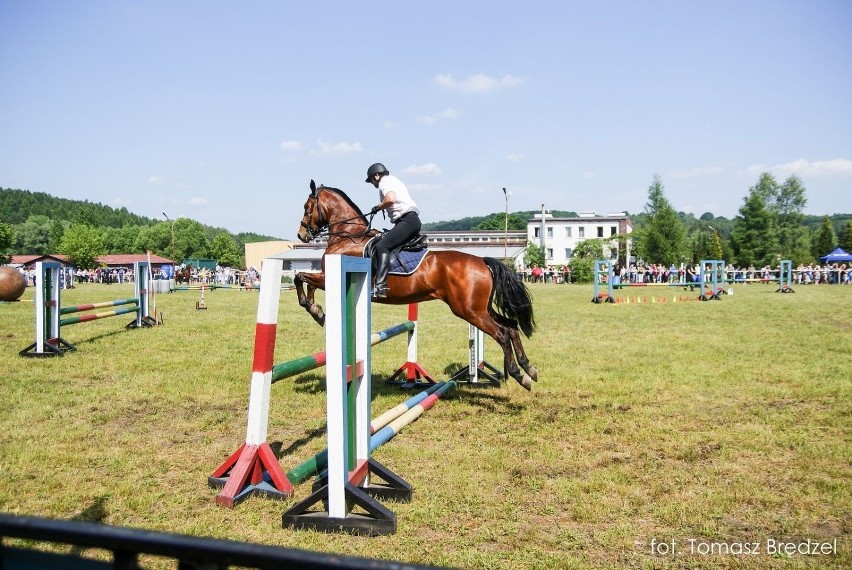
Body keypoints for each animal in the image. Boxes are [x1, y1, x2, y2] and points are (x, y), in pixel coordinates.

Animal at [292, 180, 540, 388]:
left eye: (306, 206)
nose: (302, 234)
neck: (349, 236)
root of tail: (482, 261)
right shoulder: (327, 276)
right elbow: (306, 281)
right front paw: (317, 310)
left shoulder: (333, 276)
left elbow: (300, 278)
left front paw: (314, 310)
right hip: (481, 308)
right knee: (511, 326)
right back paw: (529, 369)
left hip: (470, 311)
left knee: (503, 334)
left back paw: (518, 375)